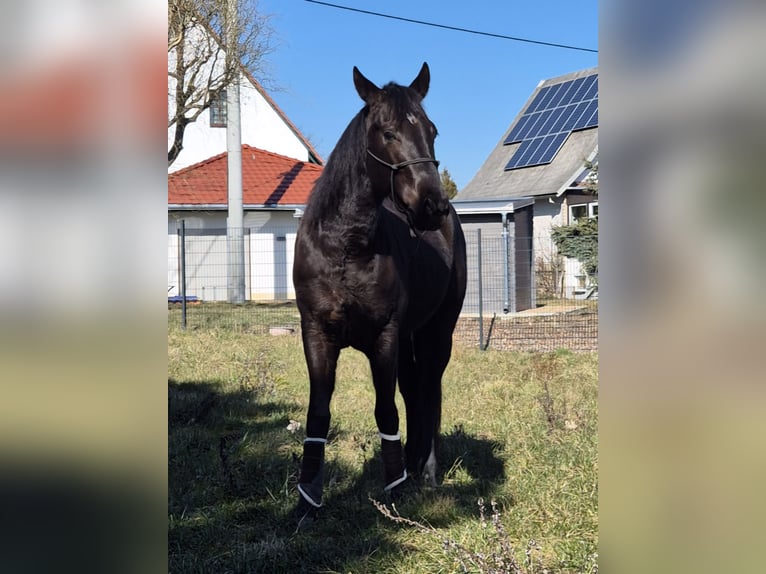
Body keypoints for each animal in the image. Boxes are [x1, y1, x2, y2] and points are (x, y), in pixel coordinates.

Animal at [292, 62, 467, 511]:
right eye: (388, 133)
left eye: (432, 130)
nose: (433, 206)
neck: (346, 247)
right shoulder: (316, 334)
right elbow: (318, 414)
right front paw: (307, 500)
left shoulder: (385, 335)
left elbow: (386, 410)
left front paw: (395, 492)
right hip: (409, 338)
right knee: (413, 390)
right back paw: (413, 459)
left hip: (437, 332)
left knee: (429, 390)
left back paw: (426, 472)